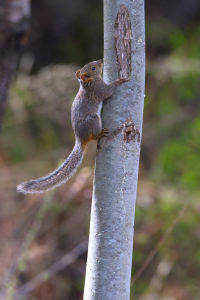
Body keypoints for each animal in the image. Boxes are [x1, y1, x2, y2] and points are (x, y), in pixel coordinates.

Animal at [17, 59, 128, 193]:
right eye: (93, 68)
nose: (100, 60)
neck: (88, 83)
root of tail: (80, 139)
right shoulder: (99, 90)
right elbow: (108, 92)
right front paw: (119, 81)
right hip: (93, 120)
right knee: (94, 136)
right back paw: (100, 133)